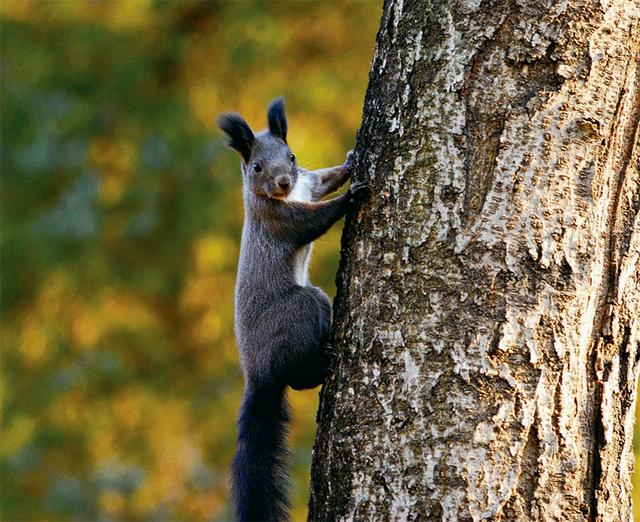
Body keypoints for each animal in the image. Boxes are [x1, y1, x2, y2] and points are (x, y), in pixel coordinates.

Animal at [218, 98, 368, 520]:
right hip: (302, 307)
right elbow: (315, 220)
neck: (284, 197)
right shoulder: (280, 220)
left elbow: (323, 179)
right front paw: (352, 196)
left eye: (292, 156)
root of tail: (258, 374)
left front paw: (350, 163)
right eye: (256, 167)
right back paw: (323, 361)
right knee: (297, 376)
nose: (284, 182)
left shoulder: (308, 183)